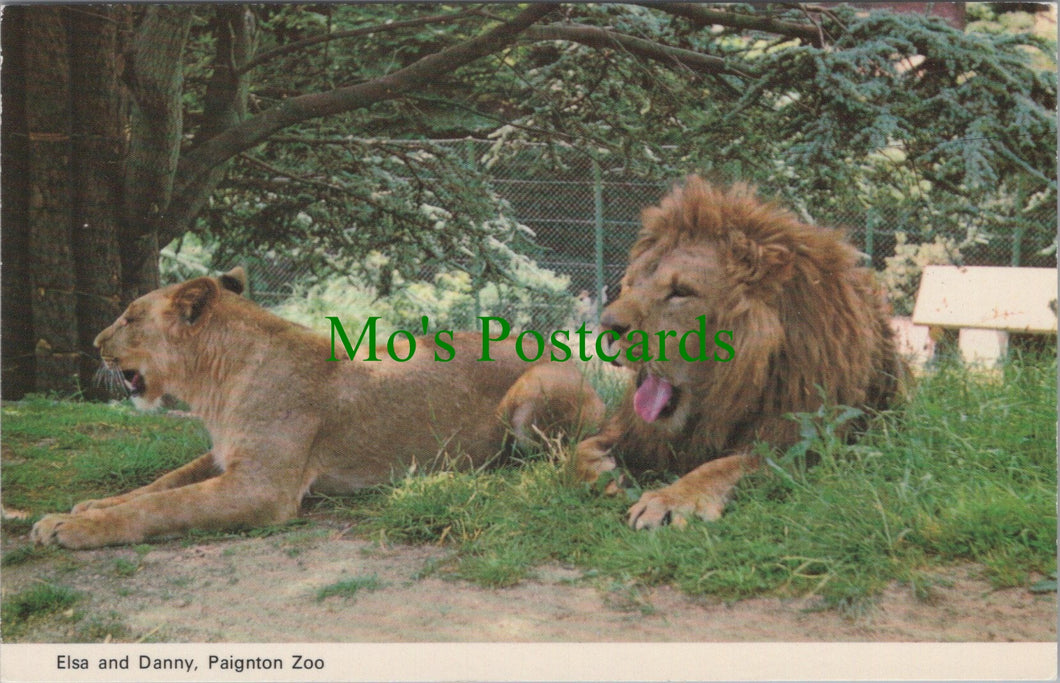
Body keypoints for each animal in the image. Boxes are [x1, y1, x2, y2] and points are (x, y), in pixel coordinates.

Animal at [30, 268, 604, 549]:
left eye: (129, 318)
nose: (96, 343)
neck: (216, 383)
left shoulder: (262, 487)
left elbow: (163, 506)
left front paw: (70, 528)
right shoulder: (224, 457)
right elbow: (157, 485)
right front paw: (87, 507)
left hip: (536, 393)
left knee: (543, 460)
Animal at [575, 177, 904, 530]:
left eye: (681, 292)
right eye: (634, 283)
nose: (606, 325)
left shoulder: (802, 446)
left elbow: (725, 466)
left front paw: (669, 500)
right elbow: (579, 451)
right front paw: (610, 476)